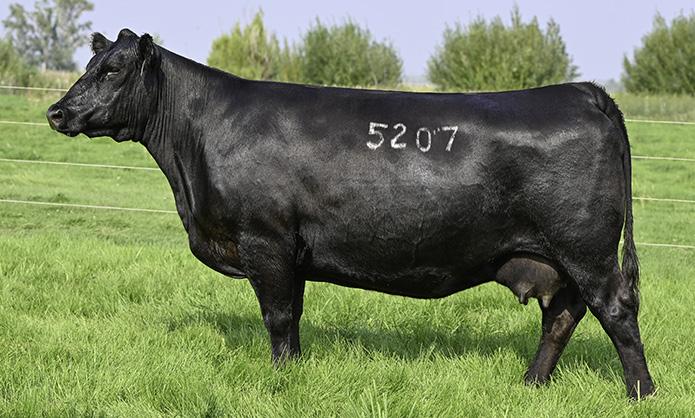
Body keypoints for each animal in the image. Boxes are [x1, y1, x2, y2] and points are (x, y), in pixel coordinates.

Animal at [47, 29, 654, 399]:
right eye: (89, 65)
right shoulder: (291, 253)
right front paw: (293, 374)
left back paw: (641, 393)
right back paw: (530, 385)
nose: (56, 112)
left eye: (113, 70)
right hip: (560, 258)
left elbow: (278, 317)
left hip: (586, 249)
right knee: (562, 316)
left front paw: (281, 381)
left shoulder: (265, 240)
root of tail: (585, 92)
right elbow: (292, 317)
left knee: (616, 311)